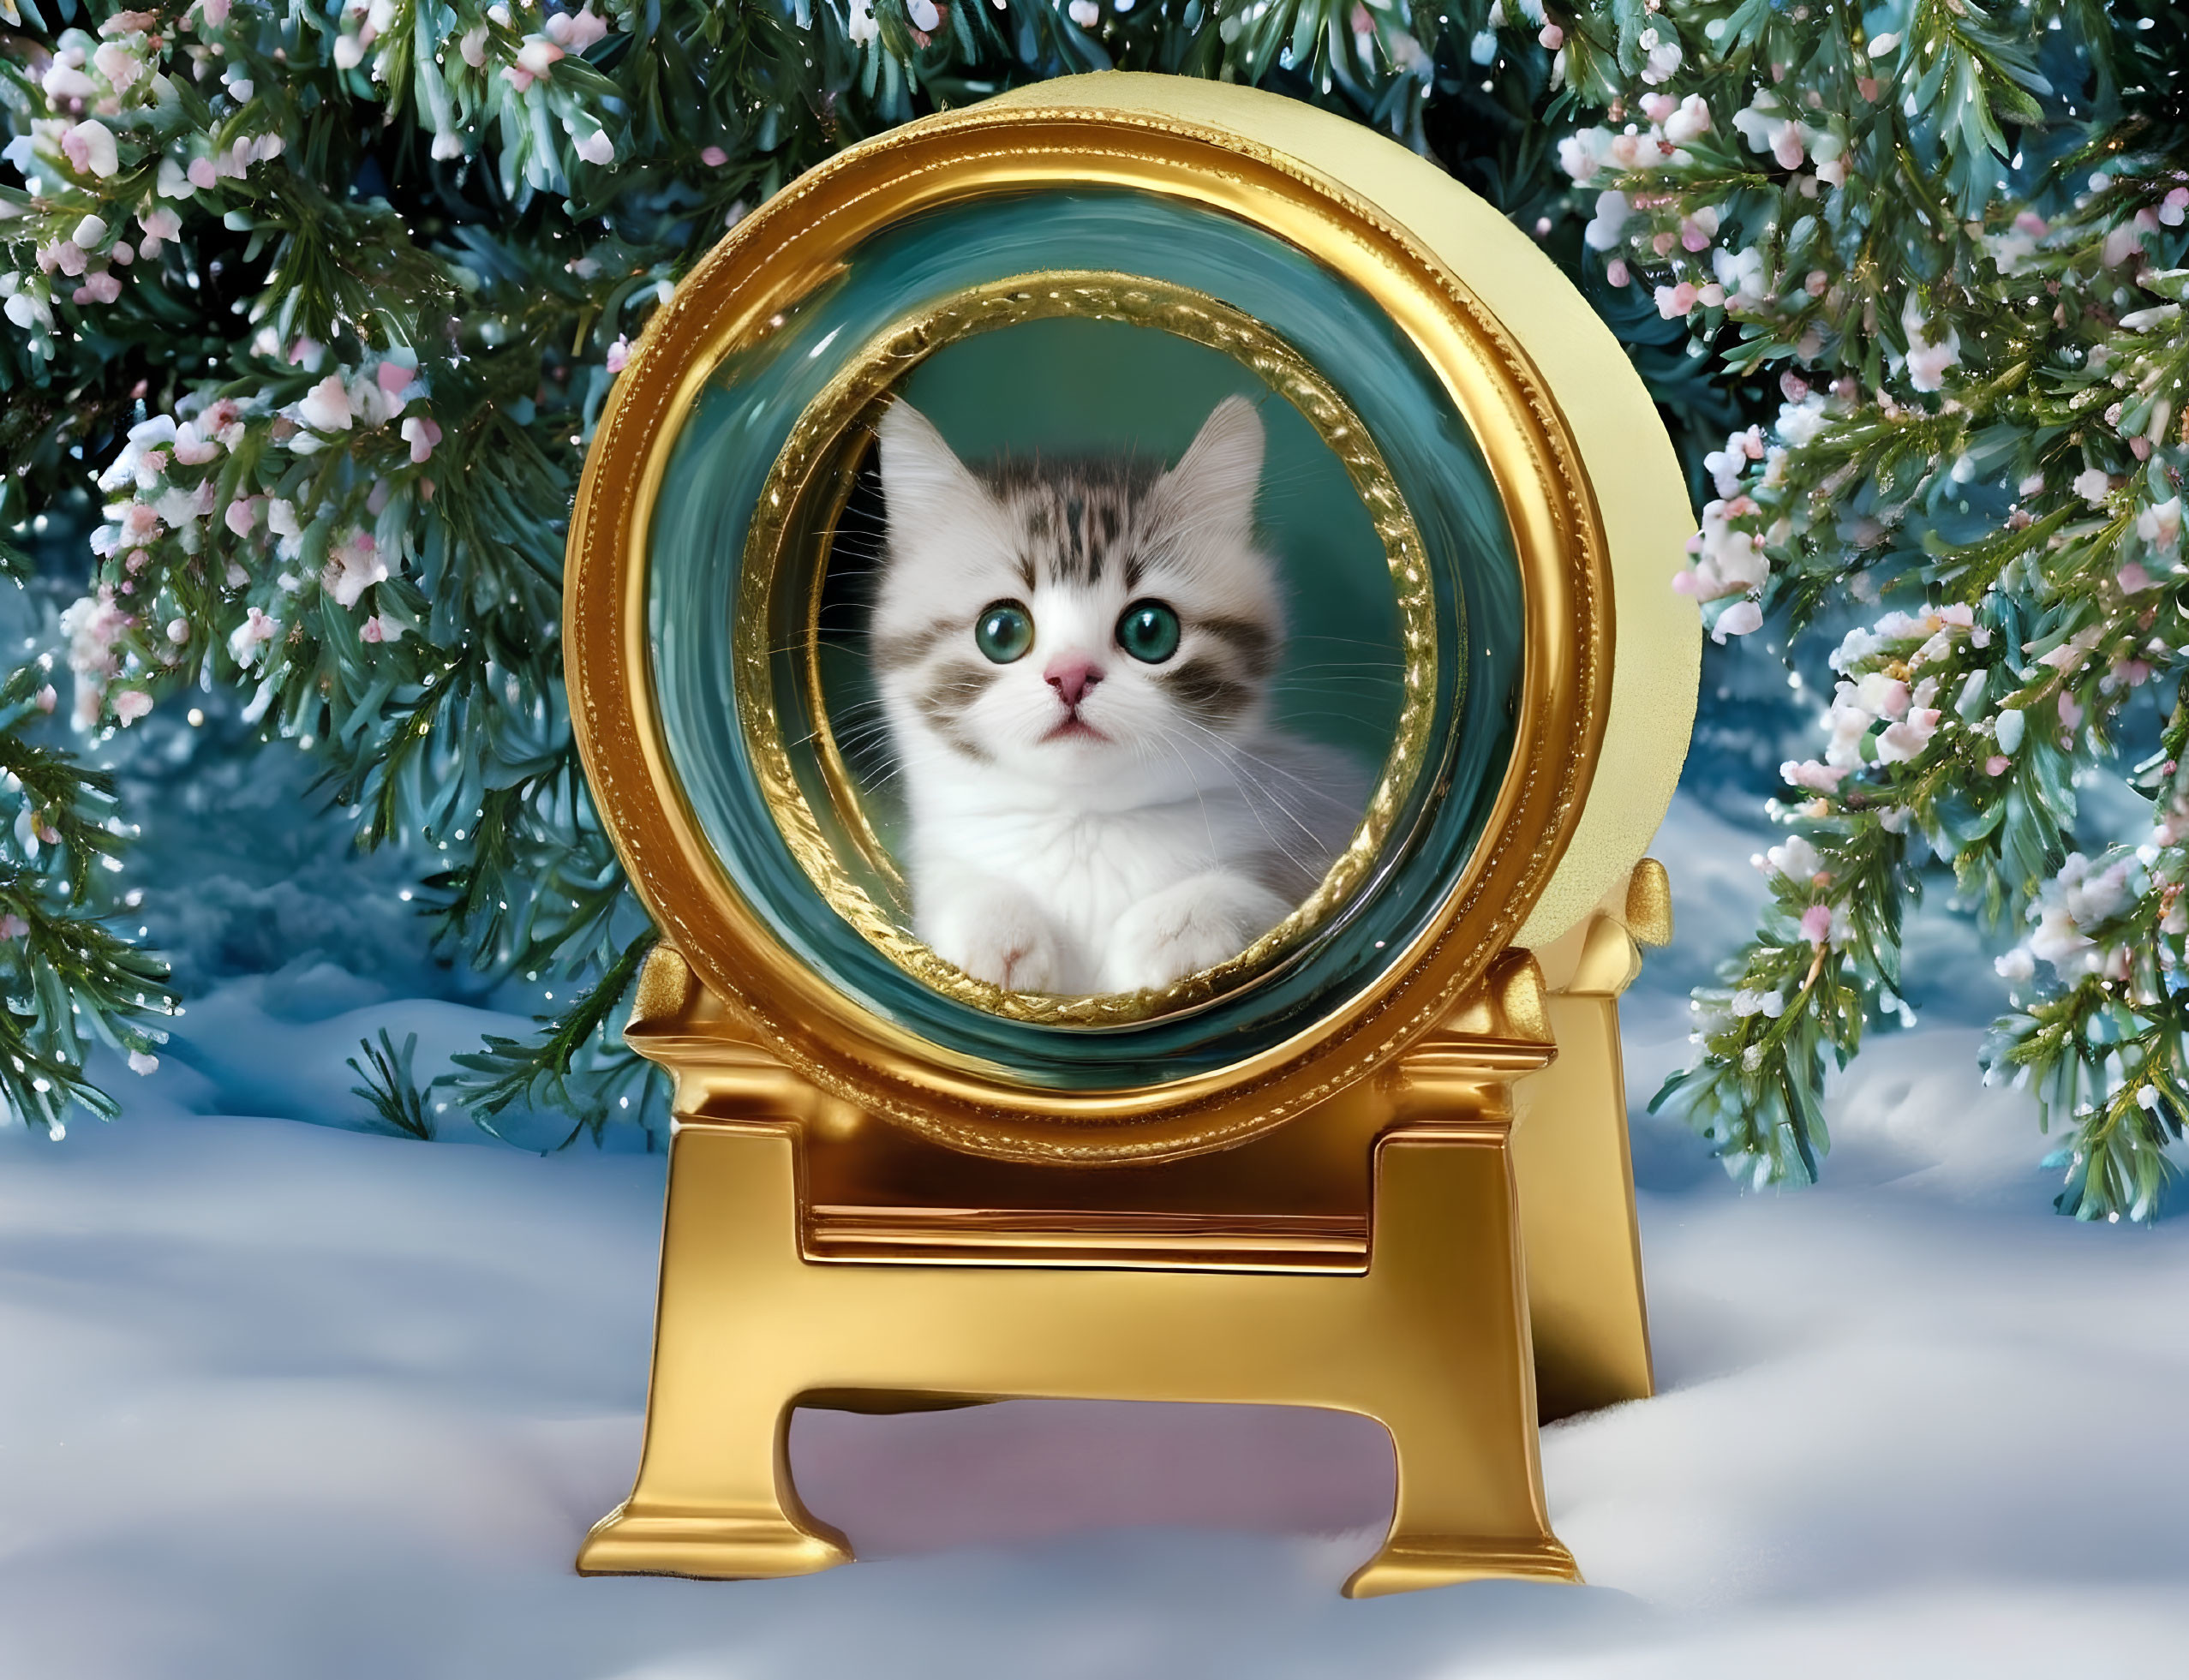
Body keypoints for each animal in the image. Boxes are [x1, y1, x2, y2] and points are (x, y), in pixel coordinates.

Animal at [876, 398, 1366, 989]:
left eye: (1149, 631)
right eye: (1002, 631)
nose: (1071, 675)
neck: (1083, 826)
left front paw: (1176, 929)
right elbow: (951, 887)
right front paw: (996, 932)